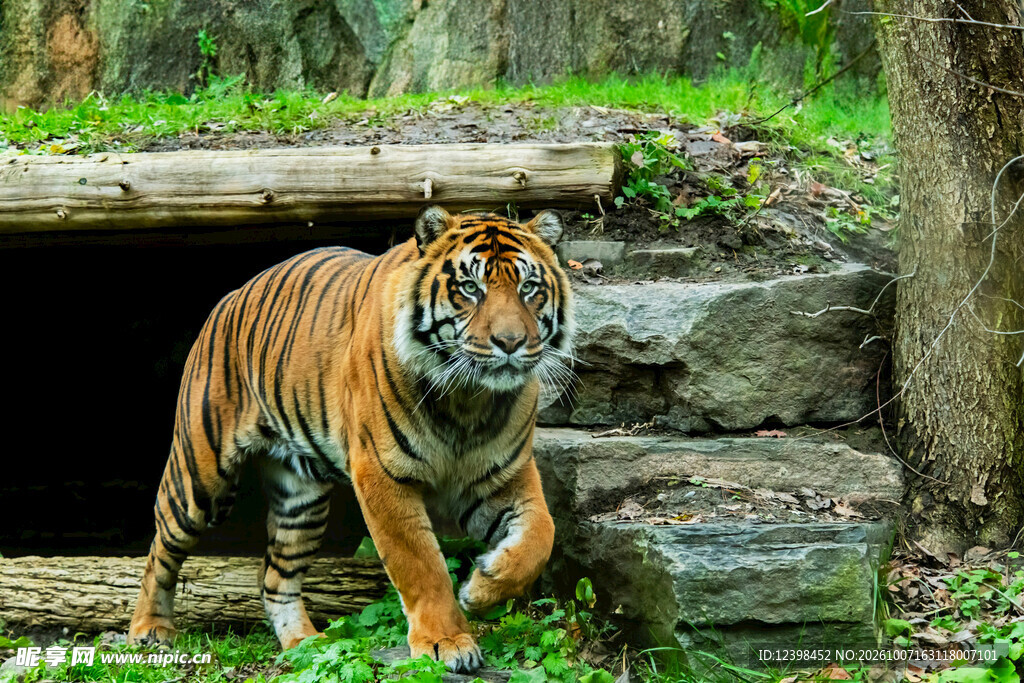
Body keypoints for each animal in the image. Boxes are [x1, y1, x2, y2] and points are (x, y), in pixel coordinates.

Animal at [127, 205, 574, 673]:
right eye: (471, 288)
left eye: (528, 288)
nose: (510, 342)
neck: (469, 401)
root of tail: (231, 296)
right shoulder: (382, 475)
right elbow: (420, 564)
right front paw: (445, 642)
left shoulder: (503, 477)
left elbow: (541, 536)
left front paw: (482, 586)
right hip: (199, 479)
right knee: (160, 551)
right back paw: (149, 630)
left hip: (300, 499)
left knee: (275, 577)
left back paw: (305, 644)